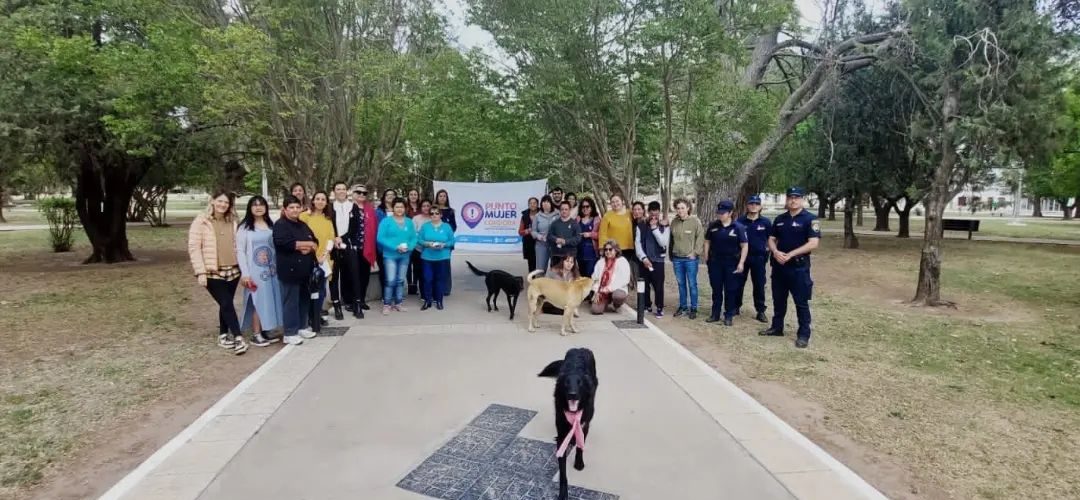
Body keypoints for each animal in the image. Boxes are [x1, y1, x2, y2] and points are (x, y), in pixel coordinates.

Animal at [537, 347, 600, 500]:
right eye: (566, 383)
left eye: (580, 383)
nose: (572, 394)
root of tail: (580, 348)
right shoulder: (561, 433)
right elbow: (562, 471)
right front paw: (563, 493)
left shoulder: (584, 425)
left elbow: (580, 446)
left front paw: (579, 463)